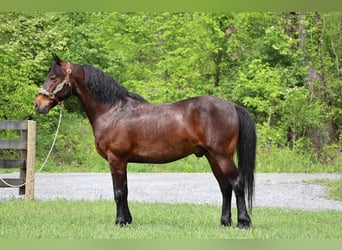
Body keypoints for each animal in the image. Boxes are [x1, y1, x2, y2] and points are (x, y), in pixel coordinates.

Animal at [34, 54, 255, 229]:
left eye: (53, 77)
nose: (38, 104)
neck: (112, 111)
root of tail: (232, 106)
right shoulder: (122, 161)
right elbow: (125, 190)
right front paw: (127, 220)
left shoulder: (116, 159)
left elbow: (118, 191)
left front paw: (120, 221)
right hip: (212, 157)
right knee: (225, 187)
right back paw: (225, 222)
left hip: (222, 156)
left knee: (237, 183)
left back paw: (243, 222)